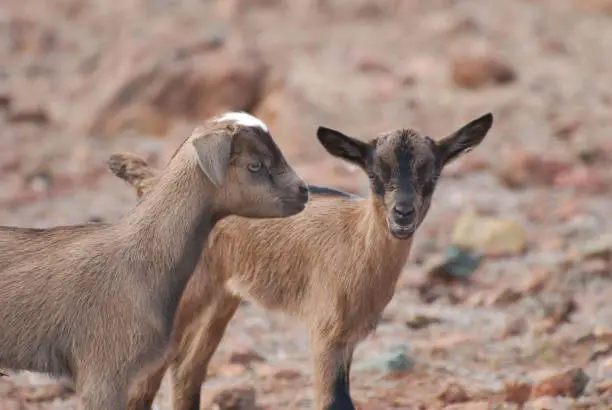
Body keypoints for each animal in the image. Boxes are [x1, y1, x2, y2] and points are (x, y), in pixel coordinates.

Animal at [110, 112, 492, 410]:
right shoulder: (324, 332)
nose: (402, 214)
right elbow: (334, 401)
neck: (355, 245)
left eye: (434, 174)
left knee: (187, 372)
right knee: (146, 379)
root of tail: (152, 183)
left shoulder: (347, 339)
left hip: (222, 298)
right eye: (373, 174)